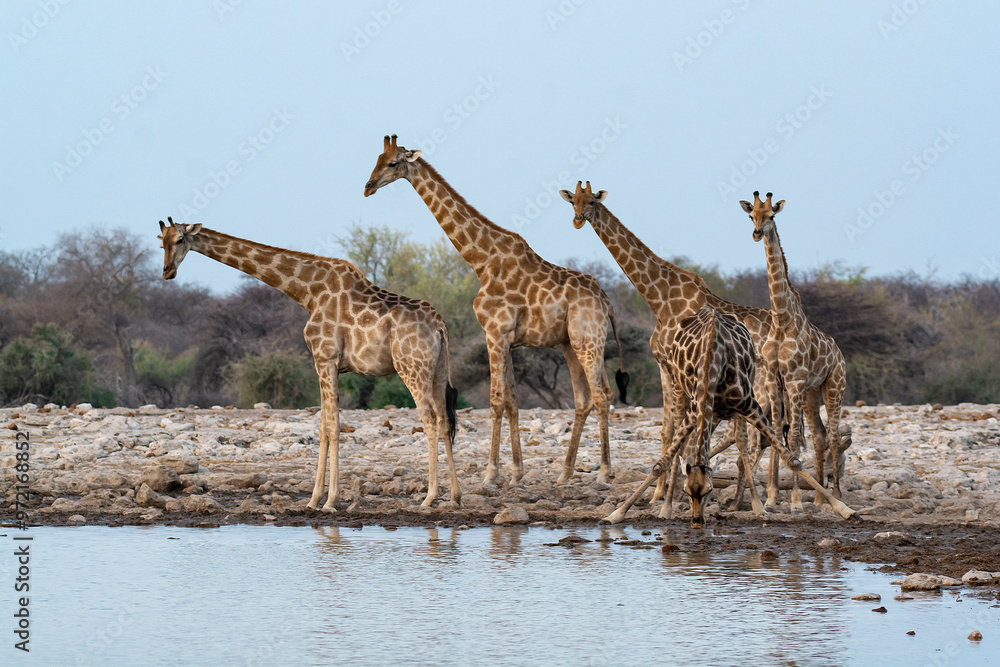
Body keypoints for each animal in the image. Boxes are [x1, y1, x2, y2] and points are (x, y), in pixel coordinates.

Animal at [157, 217, 461, 511]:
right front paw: (314, 499)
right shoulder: (329, 365)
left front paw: (329, 500)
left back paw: (429, 497)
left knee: (429, 419)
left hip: (412, 368)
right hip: (437, 371)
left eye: (181, 239)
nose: (167, 272)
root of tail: (440, 325)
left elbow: (332, 427)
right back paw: (455, 496)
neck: (308, 292)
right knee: (445, 419)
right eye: (162, 242)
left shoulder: (324, 358)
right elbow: (323, 427)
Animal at [364, 135, 628, 487]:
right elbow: (513, 401)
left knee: (602, 395)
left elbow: (495, 400)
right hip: (571, 343)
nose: (367, 187)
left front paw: (491, 473)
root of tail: (606, 301)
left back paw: (604, 471)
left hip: (588, 341)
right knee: (588, 397)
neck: (481, 259)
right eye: (376, 159)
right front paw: (516, 472)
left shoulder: (495, 332)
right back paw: (564, 473)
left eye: (393, 163)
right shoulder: (508, 338)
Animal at [560, 181, 773, 514]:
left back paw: (762, 500)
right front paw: (659, 494)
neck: (660, 298)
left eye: (593, 201)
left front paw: (666, 498)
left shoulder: (680, 371)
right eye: (573, 202)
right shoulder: (665, 366)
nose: (578, 220)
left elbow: (680, 433)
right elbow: (668, 430)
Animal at [604, 306, 856, 525]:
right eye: (687, 491)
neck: (713, 364)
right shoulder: (695, 411)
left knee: (742, 443)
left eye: (710, 490)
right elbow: (660, 463)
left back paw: (757, 506)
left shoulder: (750, 406)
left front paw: (845, 510)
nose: (697, 521)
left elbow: (791, 458)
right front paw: (616, 514)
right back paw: (666, 508)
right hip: (679, 390)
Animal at [739, 191, 849, 511]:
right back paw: (821, 499)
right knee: (821, 435)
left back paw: (835, 495)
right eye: (751, 216)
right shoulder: (775, 381)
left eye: (772, 215)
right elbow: (778, 433)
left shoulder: (795, 380)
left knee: (833, 434)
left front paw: (796, 501)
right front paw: (773, 496)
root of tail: (840, 354)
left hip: (833, 387)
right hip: (812, 394)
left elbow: (796, 439)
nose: (756, 233)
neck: (781, 319)